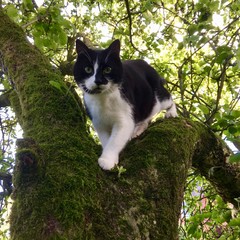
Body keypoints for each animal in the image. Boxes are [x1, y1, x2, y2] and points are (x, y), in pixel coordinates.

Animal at [74, 39, 177, 170]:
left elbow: (115, 140)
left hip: (157, 95)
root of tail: (146, 64)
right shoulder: (98, 122)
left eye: (107, 69)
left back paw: (171, 113)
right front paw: (107, 154)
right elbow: (106, 139)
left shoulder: (125, 118)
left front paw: (107, 161)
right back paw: (138, 130)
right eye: (88, 69)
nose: (98, 81)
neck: (102, 99)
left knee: (169, 99)